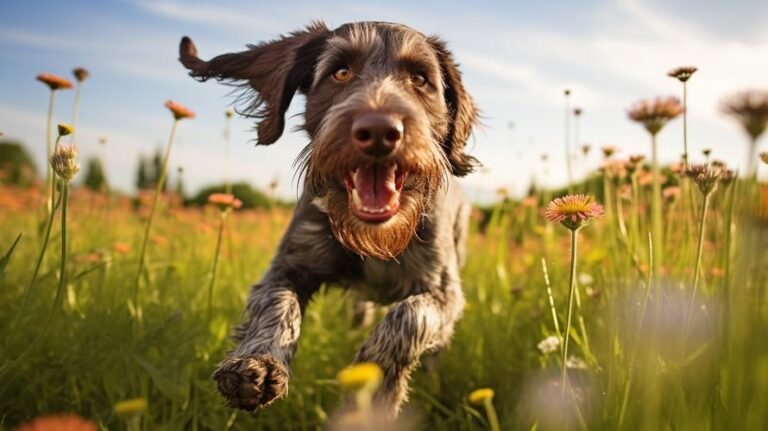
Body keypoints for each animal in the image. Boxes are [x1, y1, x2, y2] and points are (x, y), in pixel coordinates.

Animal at [181, 21, 480, 418]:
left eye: (420, 79)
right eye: (340, 72)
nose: (379, 131)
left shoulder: (443, 292)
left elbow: (408, 317)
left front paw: (376, 381)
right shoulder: (288, 265)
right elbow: (276, 304)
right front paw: (256, 364)